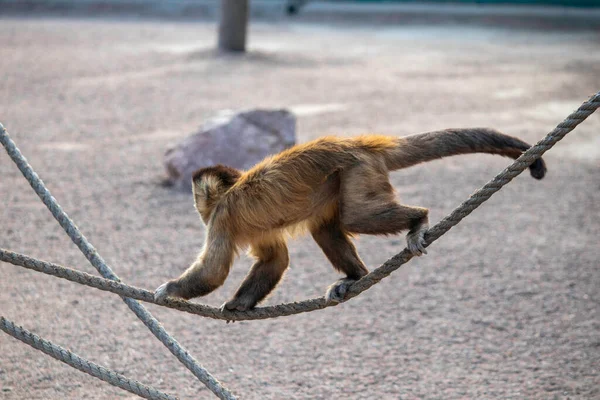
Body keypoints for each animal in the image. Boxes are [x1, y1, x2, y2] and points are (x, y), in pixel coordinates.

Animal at [154, 128, 544, 312]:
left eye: (198, 196)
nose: (195, 205)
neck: (231, 189)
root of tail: (358, 144)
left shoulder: (221, 217)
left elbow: (213, 272)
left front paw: (170, 290)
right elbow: (275, 259)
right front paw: (241, 304)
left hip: (359, 171)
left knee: (357, 217)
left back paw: (419, 220)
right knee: (325, 226)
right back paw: (355, 277)